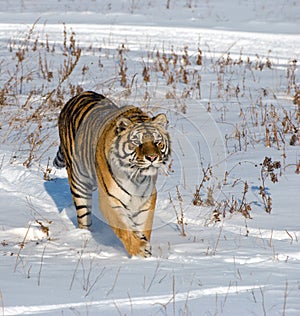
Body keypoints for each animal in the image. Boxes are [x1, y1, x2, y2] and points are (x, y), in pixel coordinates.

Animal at [53, 89, 171, 256]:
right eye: (137, 143)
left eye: (157, 142)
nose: (152, 158)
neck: (136, 178)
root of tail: (77, 95)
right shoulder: (110, 199)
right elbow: (124, 228)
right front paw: (140, 250)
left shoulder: (147, 198)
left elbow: (143, 225)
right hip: (78, 182)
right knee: (83, 217)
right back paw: (85, 238)